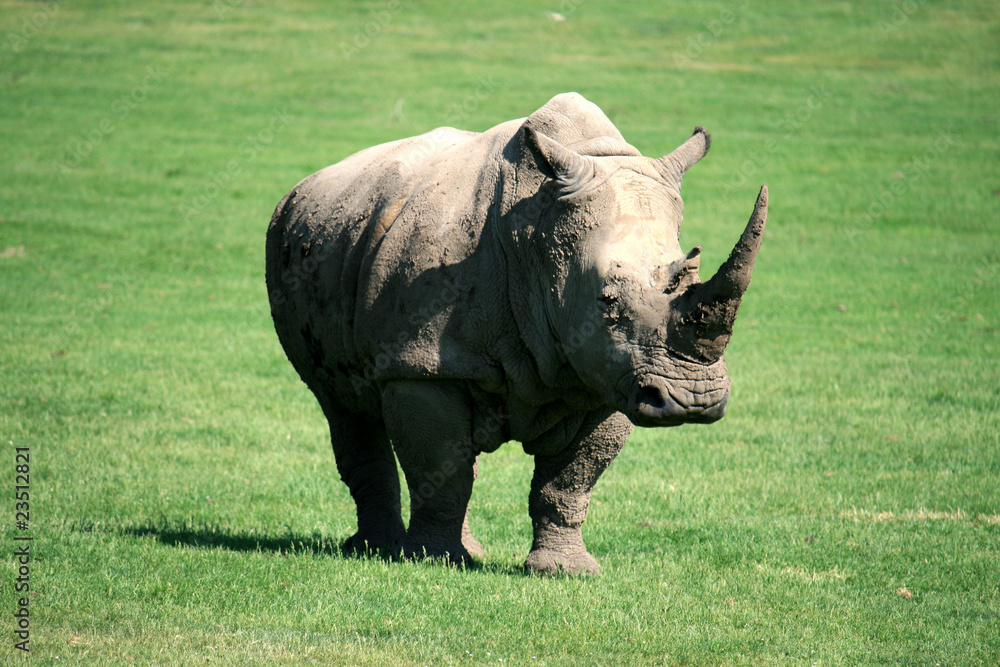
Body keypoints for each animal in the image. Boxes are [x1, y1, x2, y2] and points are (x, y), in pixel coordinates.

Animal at [265, 92, 767, 574]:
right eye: (606, 301)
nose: (693, 400)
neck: (538, 238)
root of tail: (304, 187)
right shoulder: (420, 364)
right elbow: (440, 468)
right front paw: (434, 561)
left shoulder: (615, 376)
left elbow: (569, 482)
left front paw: (565, 571)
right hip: (299, 246)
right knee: (341, 404)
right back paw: (379, 549)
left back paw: (458, 550)